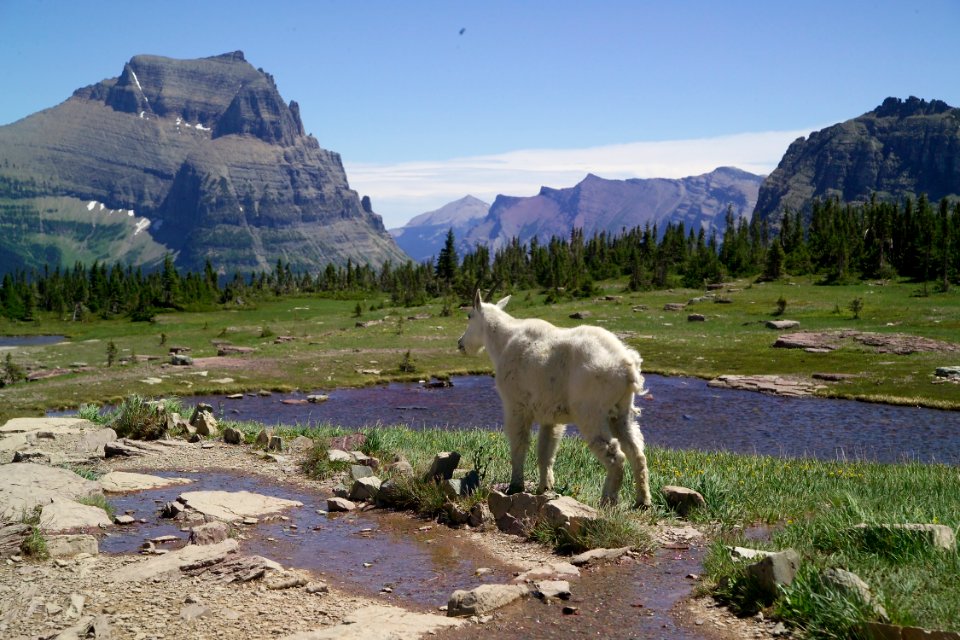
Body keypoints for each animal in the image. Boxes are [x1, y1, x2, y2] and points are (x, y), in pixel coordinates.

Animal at [458, 288, 652, 504]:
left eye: (469, 316)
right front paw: (544, 487)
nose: (460, 344)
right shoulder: (550, 415)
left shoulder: (515, 405)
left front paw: (515, 486)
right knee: (636, 452)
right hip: (621, 411)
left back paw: (607, 501)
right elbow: (546, 451)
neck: (503, 341)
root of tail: (628, 367)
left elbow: (519, 444)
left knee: (615, 455)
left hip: (591, 411)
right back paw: (643, 501)